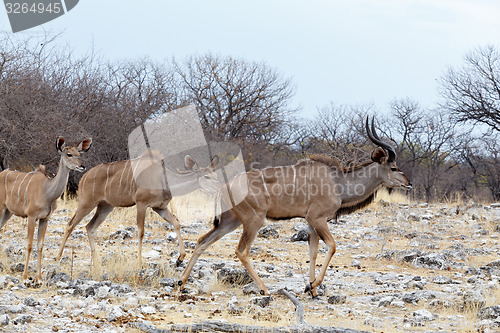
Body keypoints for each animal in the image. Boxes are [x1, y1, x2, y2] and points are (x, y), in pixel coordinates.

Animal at [0, 137, 92, 282]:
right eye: (69, 154)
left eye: (79, 154)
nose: (82, 166)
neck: (47, 191)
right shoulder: (31, 217)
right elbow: (29, 245)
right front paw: (25, 277)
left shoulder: (45, 219)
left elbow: (40, 246)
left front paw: (39, 278)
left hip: (7, 213)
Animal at [55, 152, 218, 266]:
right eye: (207, 176)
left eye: (215, 175)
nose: (218, 187)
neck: (164, 179)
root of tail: (84, 177)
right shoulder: (141, 203)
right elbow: (141, 231)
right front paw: (139, 261)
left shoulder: (159, 208)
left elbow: (176, 223)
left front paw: (180, 258)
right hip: (87, 203)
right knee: (70, 224)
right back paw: (58, 256)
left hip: (105, 207)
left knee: (90, 227)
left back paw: (96, 260)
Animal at [178, 117, 412, 296]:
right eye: (393, 167)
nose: (409, 183)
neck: (337, 182)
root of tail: (224, 186)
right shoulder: (317, 218)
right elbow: (332, 246)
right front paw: (313, 285)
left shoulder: (310, 222)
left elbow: (313, 251)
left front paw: (312, 289)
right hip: (254, 220)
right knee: (241, 251)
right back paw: (264, 289)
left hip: (230, 221)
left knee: (202, 241)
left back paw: (180, 283)